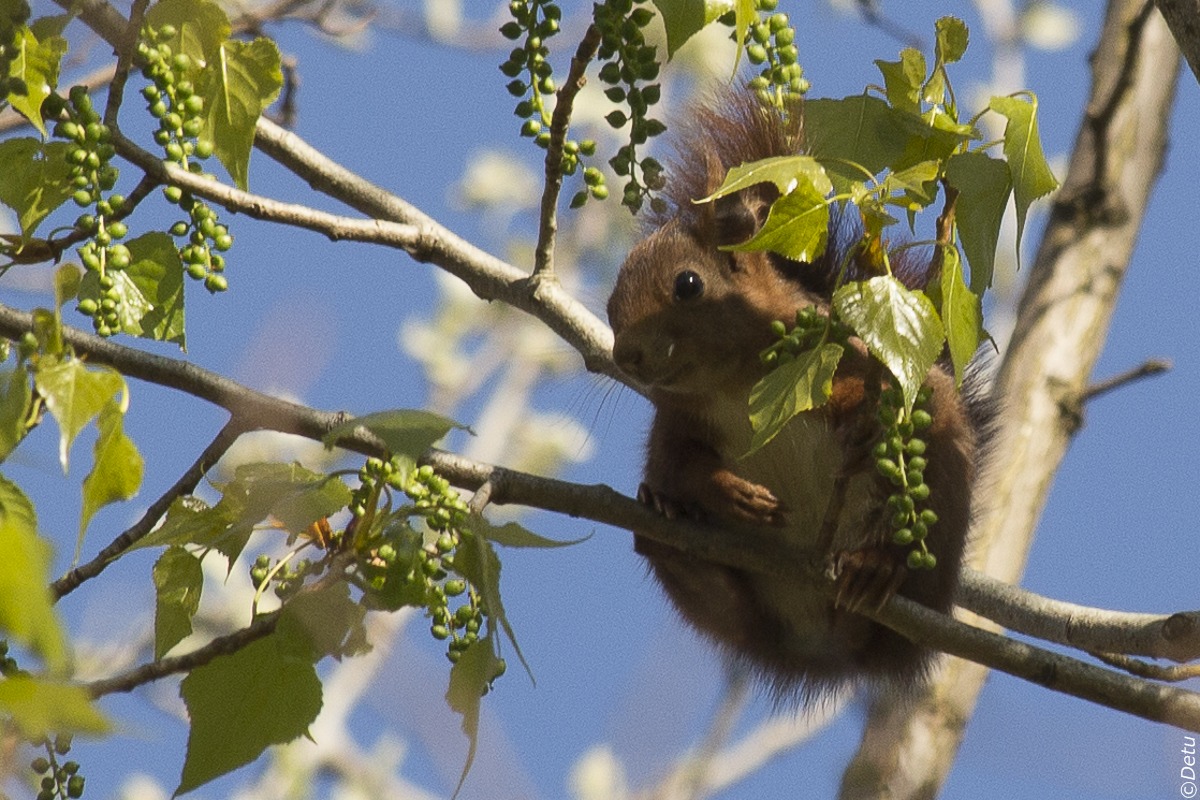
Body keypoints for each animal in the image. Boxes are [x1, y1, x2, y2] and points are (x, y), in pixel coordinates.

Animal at [606, 91, 980, 699]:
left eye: (688, 284)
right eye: (611, 305)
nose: (625, 357)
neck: (732, 385)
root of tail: (826, 650)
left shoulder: (843, 350)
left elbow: (866, 391)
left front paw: (858, 416)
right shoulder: (675, 420)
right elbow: (674, 464)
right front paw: (727, 491)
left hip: (940, 490)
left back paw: (876, 568)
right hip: (742, 616)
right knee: (724, 606)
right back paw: (670, 536)